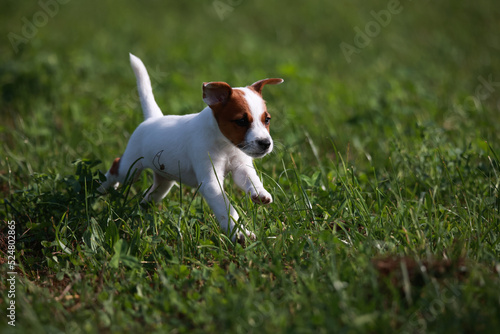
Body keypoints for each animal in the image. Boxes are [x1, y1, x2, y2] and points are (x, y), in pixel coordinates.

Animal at [99, 54, 284, 243]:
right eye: (241, 121)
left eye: (267, 119)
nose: (265, 143)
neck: (226, 145)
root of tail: (153, 119)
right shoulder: (211, 182)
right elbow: (226, 209)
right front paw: (239, 233)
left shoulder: (241, 166)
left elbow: (251, 179)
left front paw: (260, 193)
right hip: (131, 168)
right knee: (116, 167)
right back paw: (101, 188)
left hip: (163, 183)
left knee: (149, 196)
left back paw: (139, 212)